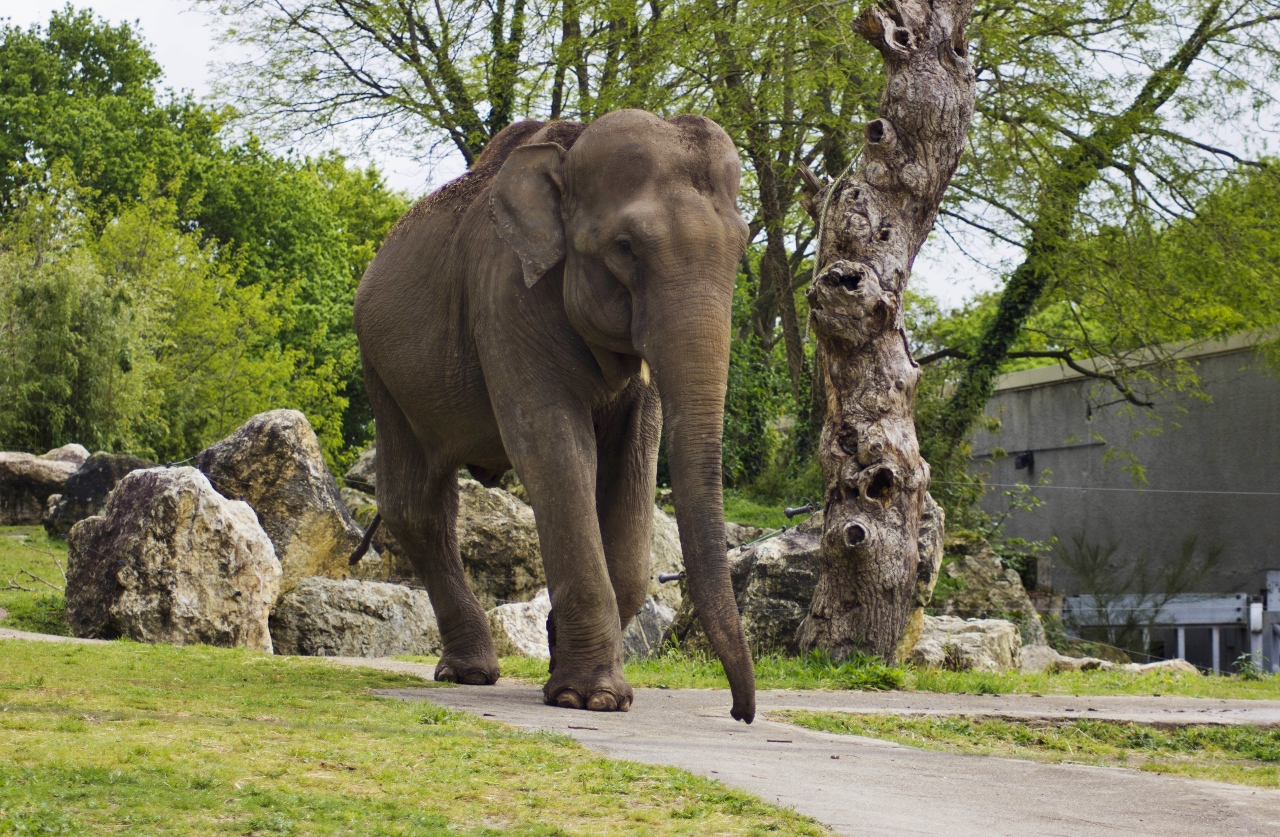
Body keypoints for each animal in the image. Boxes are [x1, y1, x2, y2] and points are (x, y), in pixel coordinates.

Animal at [353, 108, 747, 726]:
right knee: (416, 505)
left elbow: (633, 460)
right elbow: (552, 448)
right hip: (382, 369)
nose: (739, 713)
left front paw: (563, 667)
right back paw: (469, 674)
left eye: (742, 249)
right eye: (626, 247)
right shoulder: (504, 299)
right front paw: (590, 699)